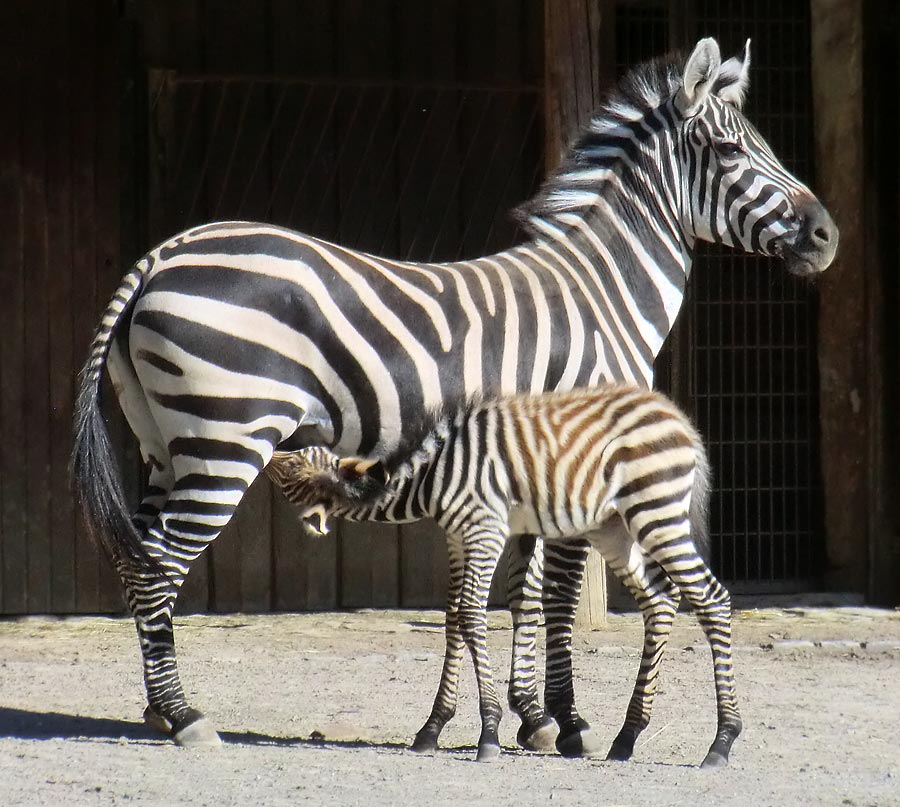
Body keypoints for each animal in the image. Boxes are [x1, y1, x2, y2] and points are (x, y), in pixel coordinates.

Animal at [268, 388, 740, 768]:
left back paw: (721, 742)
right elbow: (454, 619)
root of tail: (675, 417)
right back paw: (627, 738)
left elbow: (472, 618)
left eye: (292, 465)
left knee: (711, 599)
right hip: (614, 528)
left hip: (654, 510)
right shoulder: (459, 537)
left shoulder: (484, 530)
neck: (431, 476)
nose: (269, 447)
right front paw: (433, 728)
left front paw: (489, 734)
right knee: (660, 601)